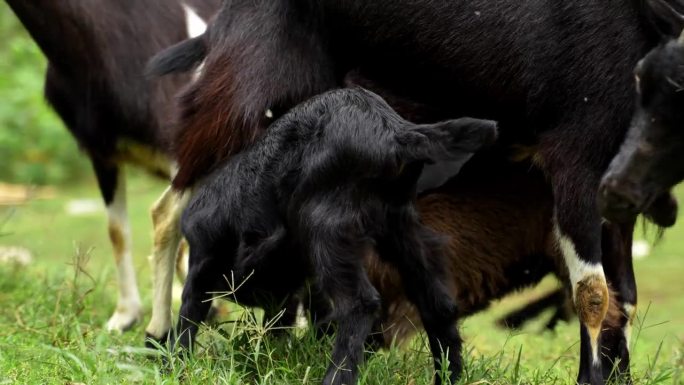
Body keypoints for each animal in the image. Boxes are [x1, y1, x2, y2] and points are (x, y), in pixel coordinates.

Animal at [176, 87, 496, 384]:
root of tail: (396, 132)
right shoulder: (289, 290)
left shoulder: (203, 262)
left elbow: (186, 319)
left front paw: (174, 364)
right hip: (400, 228)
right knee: (437, 302)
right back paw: (449, 377)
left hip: (325, 226)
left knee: (360, 304)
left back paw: (334, 377)